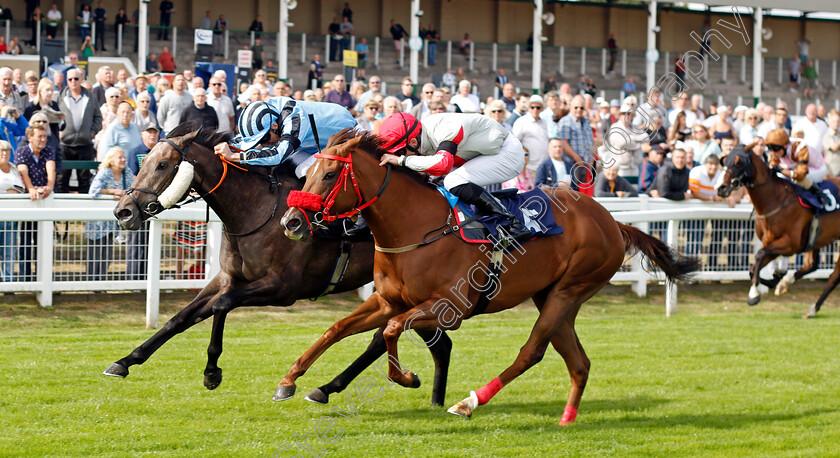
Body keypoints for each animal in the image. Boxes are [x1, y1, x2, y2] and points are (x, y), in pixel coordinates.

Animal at [109, 123, 456, 406]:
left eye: (163, 164)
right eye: (143, 161)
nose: (123, 212)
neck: (256, 210)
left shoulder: (282, 288)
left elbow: (222, 305)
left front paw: (211, 372)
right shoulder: (227, 278)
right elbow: (179, 318)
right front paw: (125, 361)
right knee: (437, 342)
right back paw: (434, 399)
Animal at [276, 130, 696, 426]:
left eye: (330, 174)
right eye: (307, 173)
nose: (291, 221)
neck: (416, 228)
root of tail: (612, 221)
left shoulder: (449, 308)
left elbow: (393, 330)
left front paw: (408, 377)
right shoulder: (386, 300)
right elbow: (336, 329)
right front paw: (290, 381)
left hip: (570, 289)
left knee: (532, 351)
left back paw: (469, 402)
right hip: (553, 295)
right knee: (578, 361)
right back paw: (566, 418)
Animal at [720, 147, 840, 318]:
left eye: (739, 162)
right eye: (724, 159)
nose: (721, 188)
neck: (775, 199)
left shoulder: (790, 244)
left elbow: (759, 255)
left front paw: (754, 294)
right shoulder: (772, 242)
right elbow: (754, 267)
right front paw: (773, 281)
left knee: (834, 276)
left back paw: (811, 308)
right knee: (812, 265)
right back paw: (788, 285)